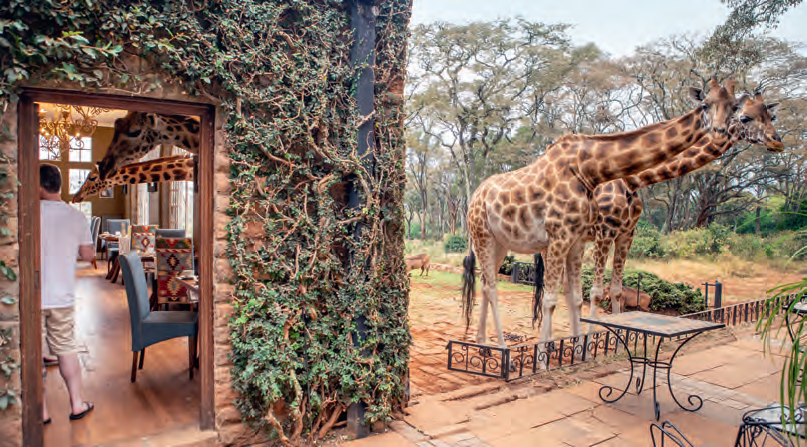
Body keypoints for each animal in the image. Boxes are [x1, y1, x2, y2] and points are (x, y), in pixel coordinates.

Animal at [460, 77, 738, 350]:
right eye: (706, 105)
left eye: (735, 107)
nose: (720, 132)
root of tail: (474, 197)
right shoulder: (591, 234)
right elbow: (575, 294)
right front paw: (560, 350)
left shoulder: (602, 236)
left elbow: (591, 293)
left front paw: (585, 345)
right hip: (484, 236)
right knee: (493, 286)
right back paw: (501, 346)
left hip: (501, 242)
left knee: (487, 282)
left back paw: (483, 342)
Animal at [585, 90, 783, 317]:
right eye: (745, 118)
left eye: (772, 117)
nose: (776, 142)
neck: (631, 181)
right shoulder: (604, 233)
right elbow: (595, 292)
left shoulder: (627, 234)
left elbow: (616, 291)